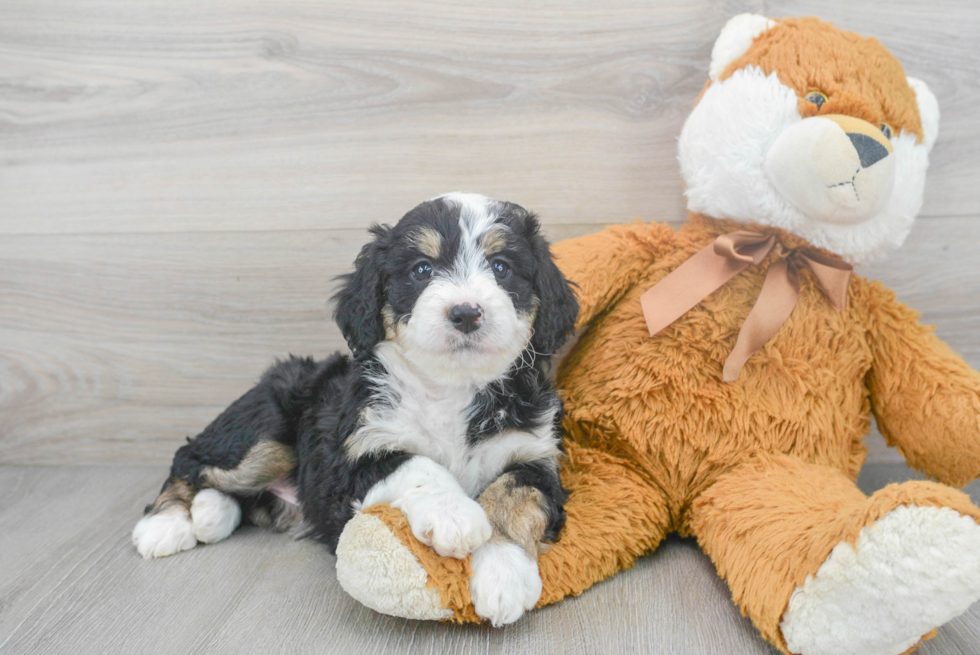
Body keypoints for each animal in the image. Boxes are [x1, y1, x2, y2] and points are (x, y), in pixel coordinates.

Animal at [129, 192, 576, 628]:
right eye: (421, 270)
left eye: (501, 267)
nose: (466, 312)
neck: (452, 387)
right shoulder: (355, 453)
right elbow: (418, 465)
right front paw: (457, 516)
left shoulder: (535, 454)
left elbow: (514, 495)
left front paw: (504, 573)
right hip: (265, 431)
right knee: (191, 458)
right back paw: (166, 523)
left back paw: (213, 512)